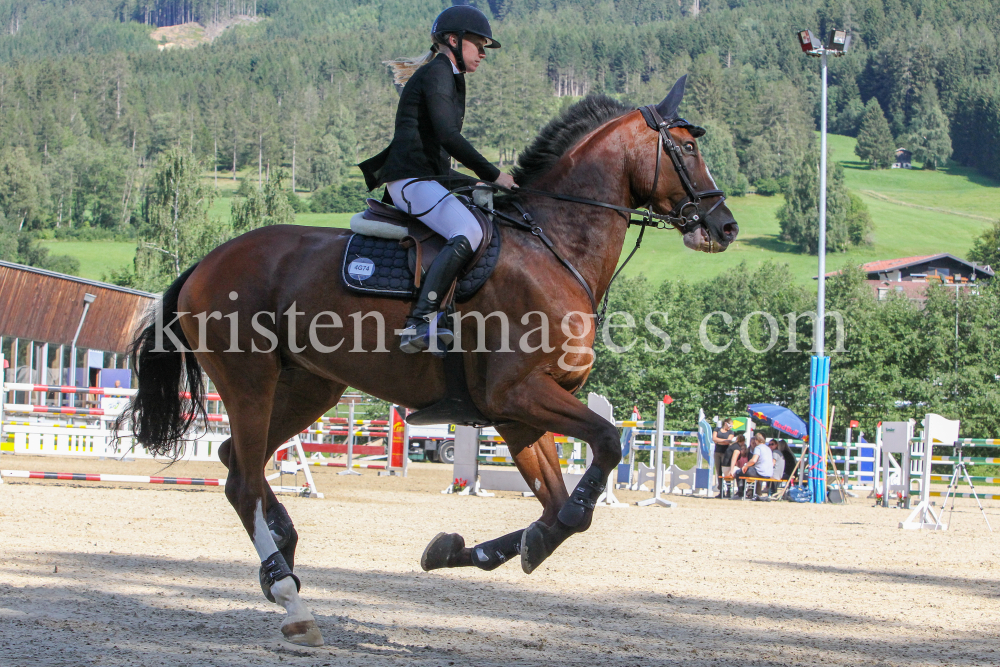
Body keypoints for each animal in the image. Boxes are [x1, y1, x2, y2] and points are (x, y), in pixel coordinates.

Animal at [121, 77, 740, 648]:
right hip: (251, 381)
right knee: (246, 479)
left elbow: (555, 506)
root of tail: (206, 262)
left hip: (308, 388)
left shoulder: (517, 414)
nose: (725, 225)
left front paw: (464, 550)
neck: (554, 246)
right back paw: (291, 599)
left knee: (234, 464)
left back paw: (283, 560)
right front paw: (539, 534)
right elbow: (602, 455)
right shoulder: (517, 395)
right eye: (687, 148)